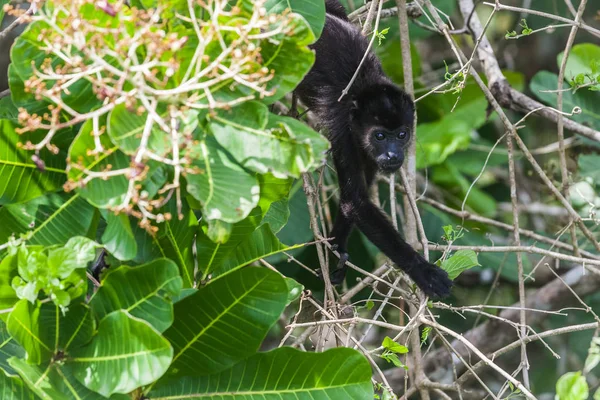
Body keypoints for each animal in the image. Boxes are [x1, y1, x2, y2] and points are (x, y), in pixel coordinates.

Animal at [292, 0, 452, 296]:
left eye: (401, 134)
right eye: (379, 136)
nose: (392, 153)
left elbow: (352, 198)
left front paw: (336, 249)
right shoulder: (344, 132)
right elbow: (356, 200)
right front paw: (423, 271)